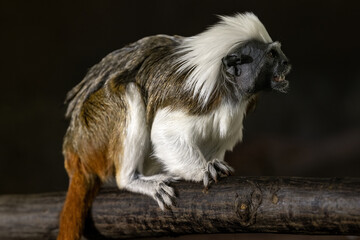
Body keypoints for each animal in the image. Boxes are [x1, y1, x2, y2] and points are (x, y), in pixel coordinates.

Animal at [57, 13, 292, 240]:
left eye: (279, 52)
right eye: (272, 55)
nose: (287, 62)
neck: (227, 90)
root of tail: (74, 149)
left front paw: (210, 163)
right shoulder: (190, 98)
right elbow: (165, 133)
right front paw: (203, 169)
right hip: (94, 136)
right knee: (128, 91)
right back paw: (131, 179)